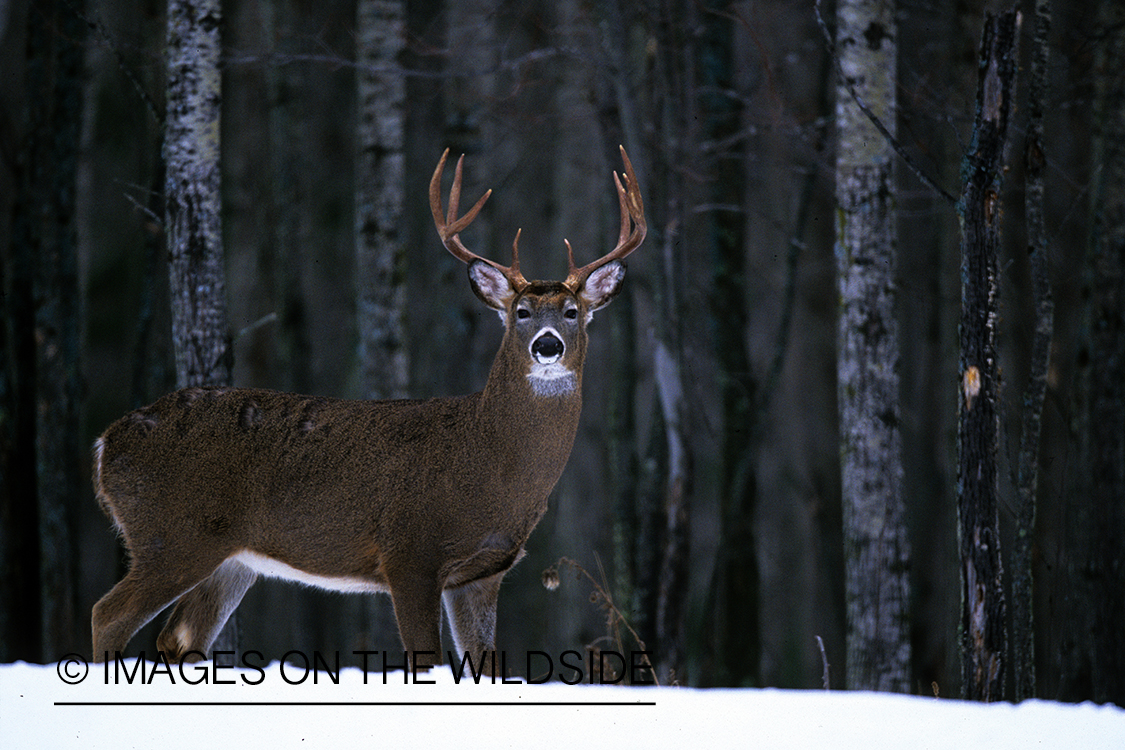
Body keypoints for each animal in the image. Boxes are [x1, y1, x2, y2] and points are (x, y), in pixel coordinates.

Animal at [92, 145, 648, 670]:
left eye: (573, 312)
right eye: (521, 312)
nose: (547, 346)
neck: (489, 464)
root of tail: (104, 444)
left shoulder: (483, 573)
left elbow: (485, 665)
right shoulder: (410, 552)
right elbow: (426, 660)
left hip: (231, 559)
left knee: (178, 638)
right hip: (171, 533)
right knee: (108, 614)